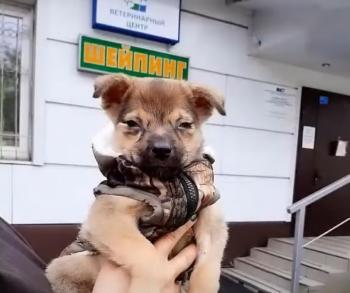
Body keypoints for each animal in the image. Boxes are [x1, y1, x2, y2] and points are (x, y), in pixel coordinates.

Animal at [45, 73, 227, 292]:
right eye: (132, 123)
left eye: (184, 125)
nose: (161, 150)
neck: (171, 184)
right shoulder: (109, 216)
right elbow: (150, 260)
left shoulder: (213, 223)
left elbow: (207, 270)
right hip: (73, 263)